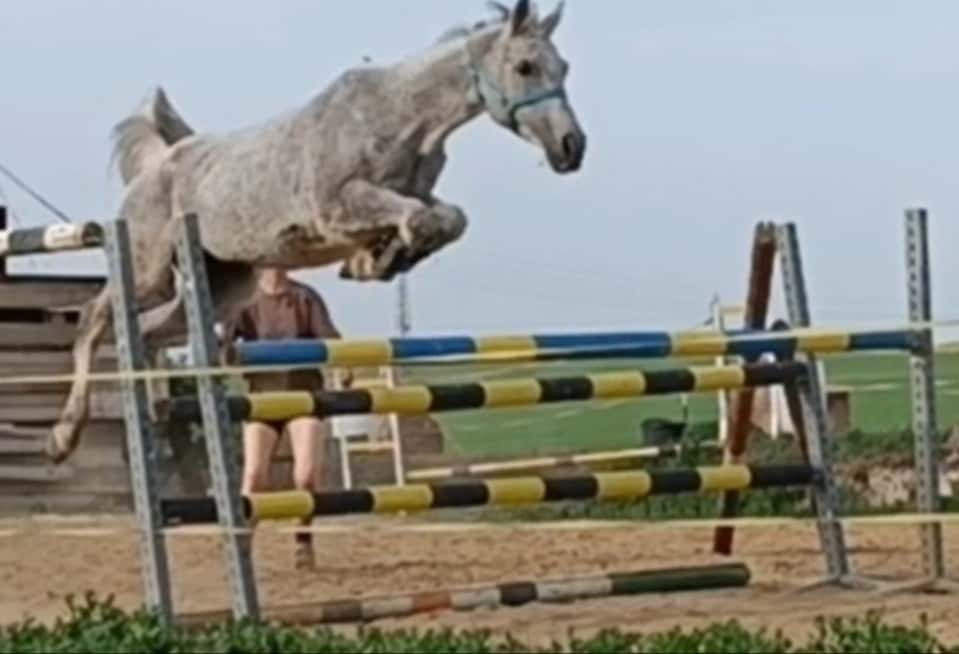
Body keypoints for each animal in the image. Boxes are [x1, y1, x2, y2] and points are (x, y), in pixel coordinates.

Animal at [48, 0, 586, 463]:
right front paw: (381, 256)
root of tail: (153, 168)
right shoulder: (337, 207)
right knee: (96, 317)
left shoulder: (414, 197)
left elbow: (447, 218)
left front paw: (382, 258)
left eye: (564, 68)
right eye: (525, 67)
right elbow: (415, 216)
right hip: (149, 271)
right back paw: (64, 436)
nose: (571, 148)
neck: (404, 119)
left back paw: (154, 412)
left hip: (223, 287)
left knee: (147, 331)